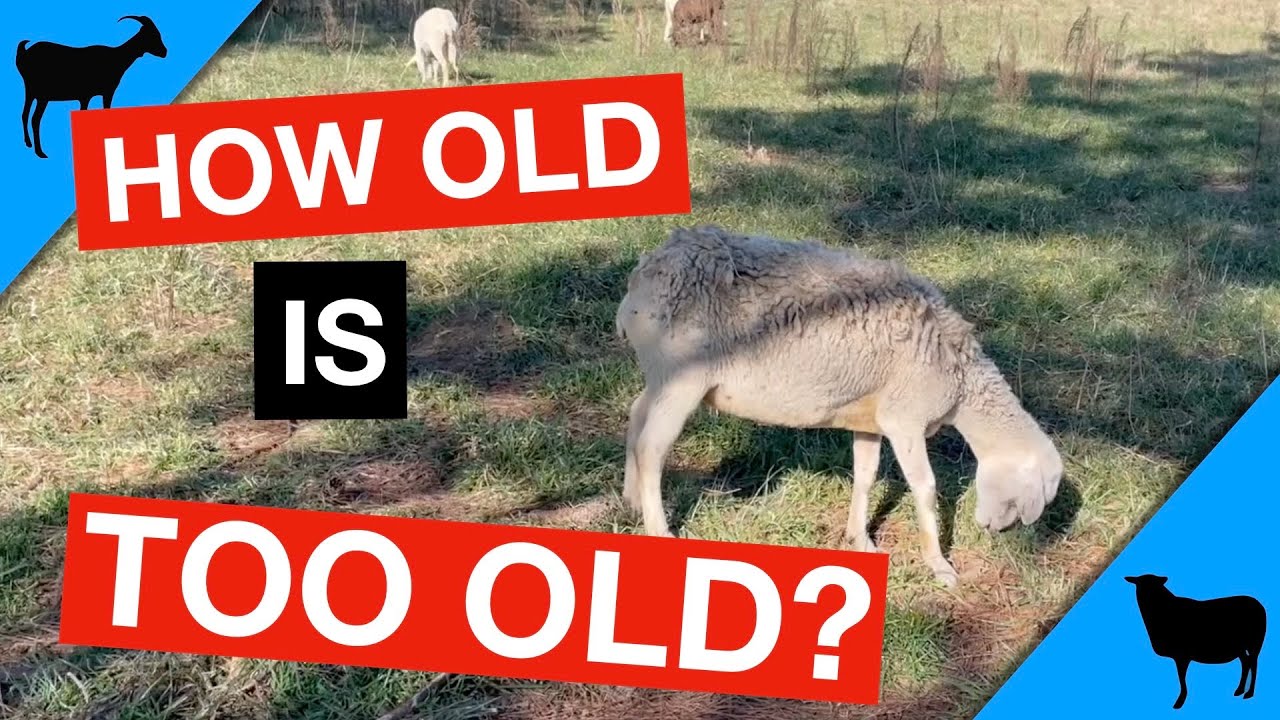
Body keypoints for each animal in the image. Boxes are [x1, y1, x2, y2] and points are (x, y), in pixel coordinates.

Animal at [16, 15, 167, 159]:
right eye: (153, 35)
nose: (165, 52)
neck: (117, 58)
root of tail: (25, 54)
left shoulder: (86, 97)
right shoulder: (105, 93)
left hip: (30, 92)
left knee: (24, 114)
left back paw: (28, 143)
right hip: (43, 96)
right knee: (35, 119)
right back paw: (40, 152)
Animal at [614, 225, 1063, 587]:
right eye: (1032, 491)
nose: (991, 529)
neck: (960, 379)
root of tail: (646, 273)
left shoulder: (870, 418)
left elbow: (865, 476)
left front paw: (860, 539)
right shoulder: (905, 419)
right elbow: (925, 488)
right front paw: (939, 566)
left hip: (660, 375)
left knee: (636, 417)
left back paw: (632, 501)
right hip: (681, 376)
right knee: (652, 448)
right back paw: (659, 531)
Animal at [1126, 574, 1266, 710]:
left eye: (1155, 585)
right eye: (1139, 585)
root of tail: (1259, 604)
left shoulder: (1182, 655)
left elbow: (1182, 679)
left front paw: (1179, 702)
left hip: (1255, 643)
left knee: (1253, 664)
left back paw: (1249, 693)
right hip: (1240, 647)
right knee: (1245, 663)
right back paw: (1239, 690)